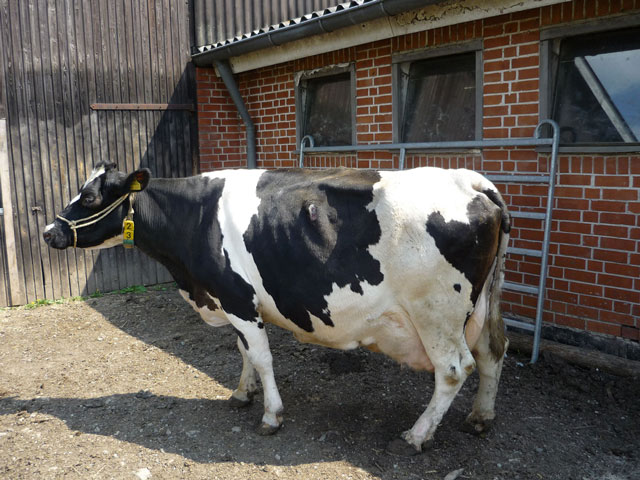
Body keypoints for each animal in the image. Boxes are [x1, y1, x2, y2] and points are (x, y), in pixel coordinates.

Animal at [44, 162, 510, 455]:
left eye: (89, 197)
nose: (49, 231)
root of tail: (470, 180)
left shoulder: (237, 299)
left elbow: (263, 357)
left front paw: (271, 414)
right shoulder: (233, 301)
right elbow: (244, 352)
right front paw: (241, 393)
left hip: (436, 312)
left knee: (454, 369)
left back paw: (416, 436)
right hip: (486, 303)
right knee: (493, 352)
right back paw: (480, 417)